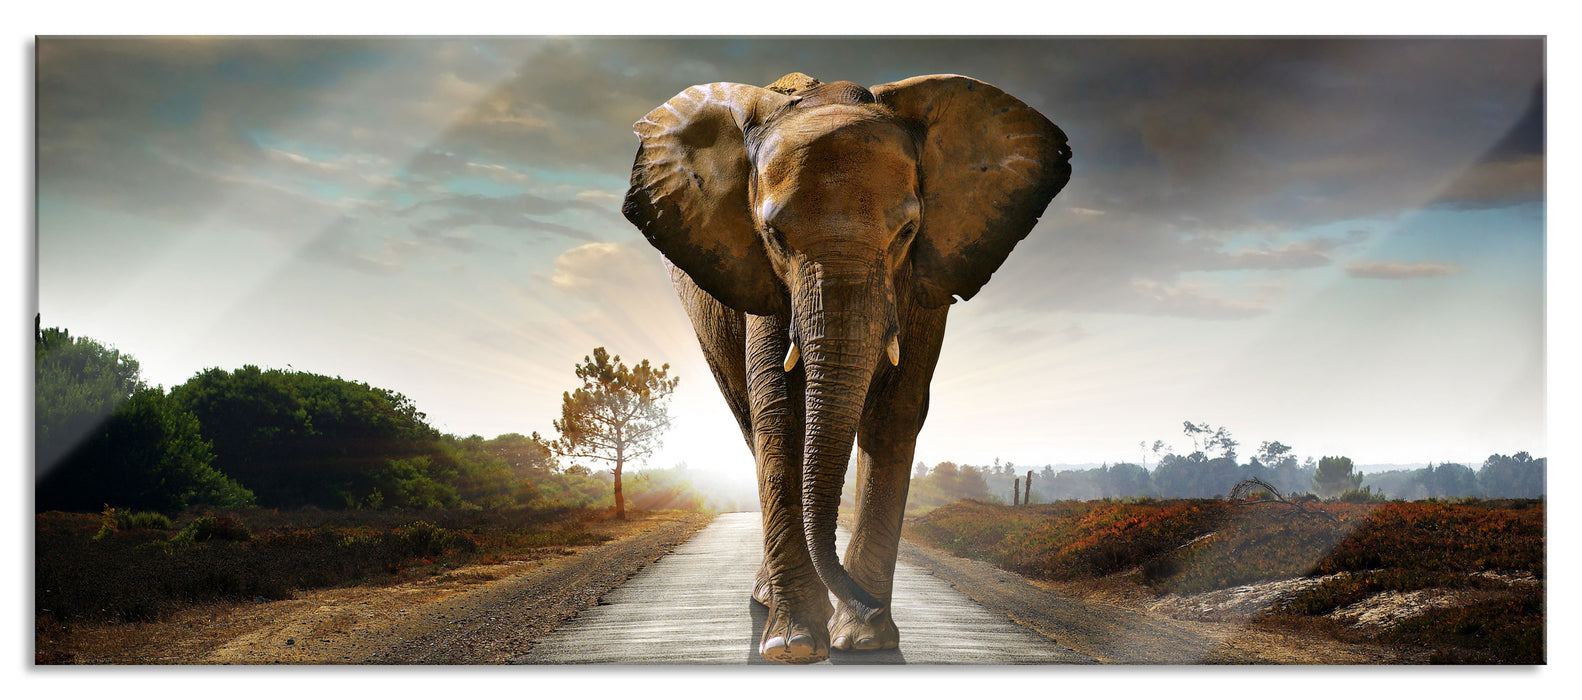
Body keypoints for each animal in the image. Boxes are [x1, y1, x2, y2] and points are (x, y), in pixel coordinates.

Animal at [621, 72, 1071, 664]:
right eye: (774, 236)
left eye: (906, 232)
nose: (867, 605)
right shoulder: (762, 280)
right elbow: (780, 414)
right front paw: (793, 646)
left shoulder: (925, 279)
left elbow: (896, 413)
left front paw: (864, 640)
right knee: (748, 420)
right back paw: (769, 602)